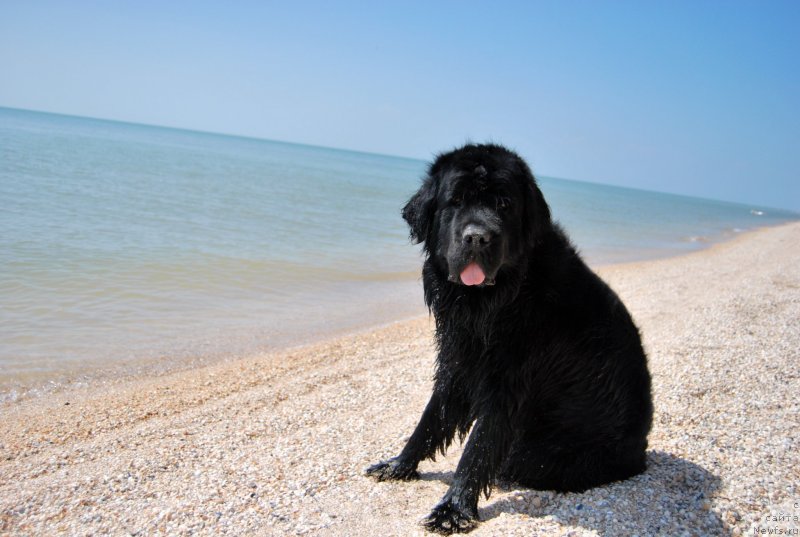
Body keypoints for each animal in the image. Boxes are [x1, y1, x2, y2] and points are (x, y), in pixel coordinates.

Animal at [365, 143, 653, 534]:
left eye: (504, 204)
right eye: (455, 200)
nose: (477, 236)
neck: (498, 300)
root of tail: (641, 452)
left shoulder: (506, 382)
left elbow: (477, 449)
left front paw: (453, 508)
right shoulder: (457, 361)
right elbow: (430, 420)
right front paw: (399, 464)